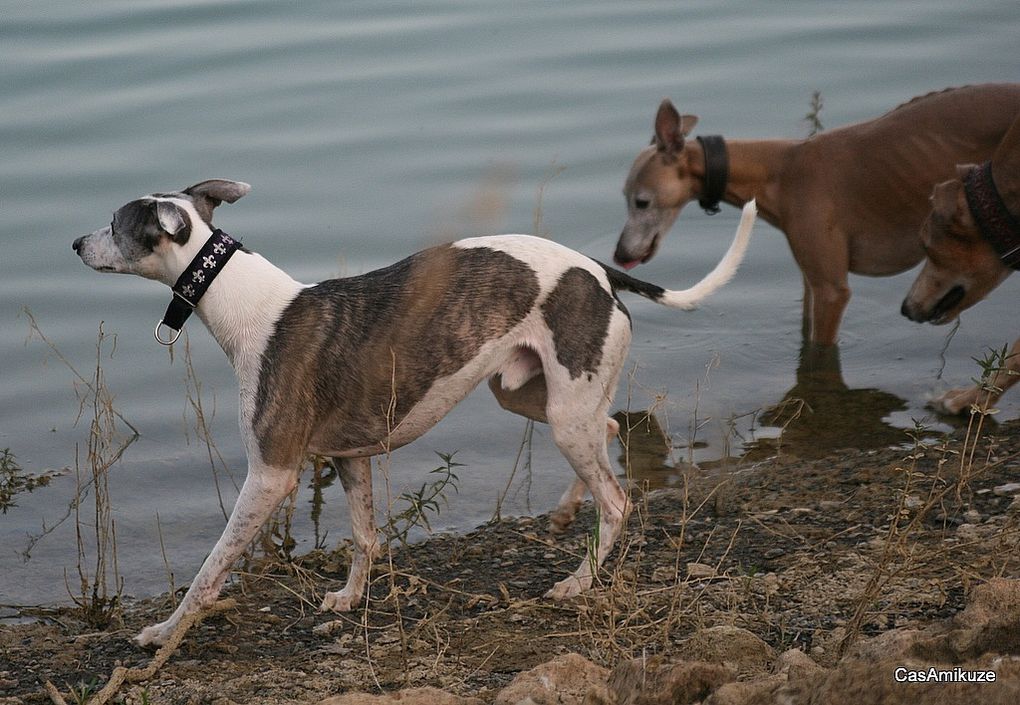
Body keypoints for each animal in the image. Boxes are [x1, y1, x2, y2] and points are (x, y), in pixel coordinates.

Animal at [71, 180, 754, 644]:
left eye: (114, 223)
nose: (75, 241)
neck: (251, 308)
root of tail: (599, 271)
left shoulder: (270, 474)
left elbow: (211, 568)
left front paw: (164, 634)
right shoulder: (349, 456)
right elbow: (366, 537)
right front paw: (349, 599)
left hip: (562, 413)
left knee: (617, 499)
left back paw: (579, 581)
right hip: (533, 396)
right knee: (610, 426)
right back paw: (566, 513)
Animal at [612, 84, 1020, 346]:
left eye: (641, 201)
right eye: (625, 197)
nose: (619, 256)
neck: (781, 170)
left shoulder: (832, 289)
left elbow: (819, 351)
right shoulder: (811, 281)